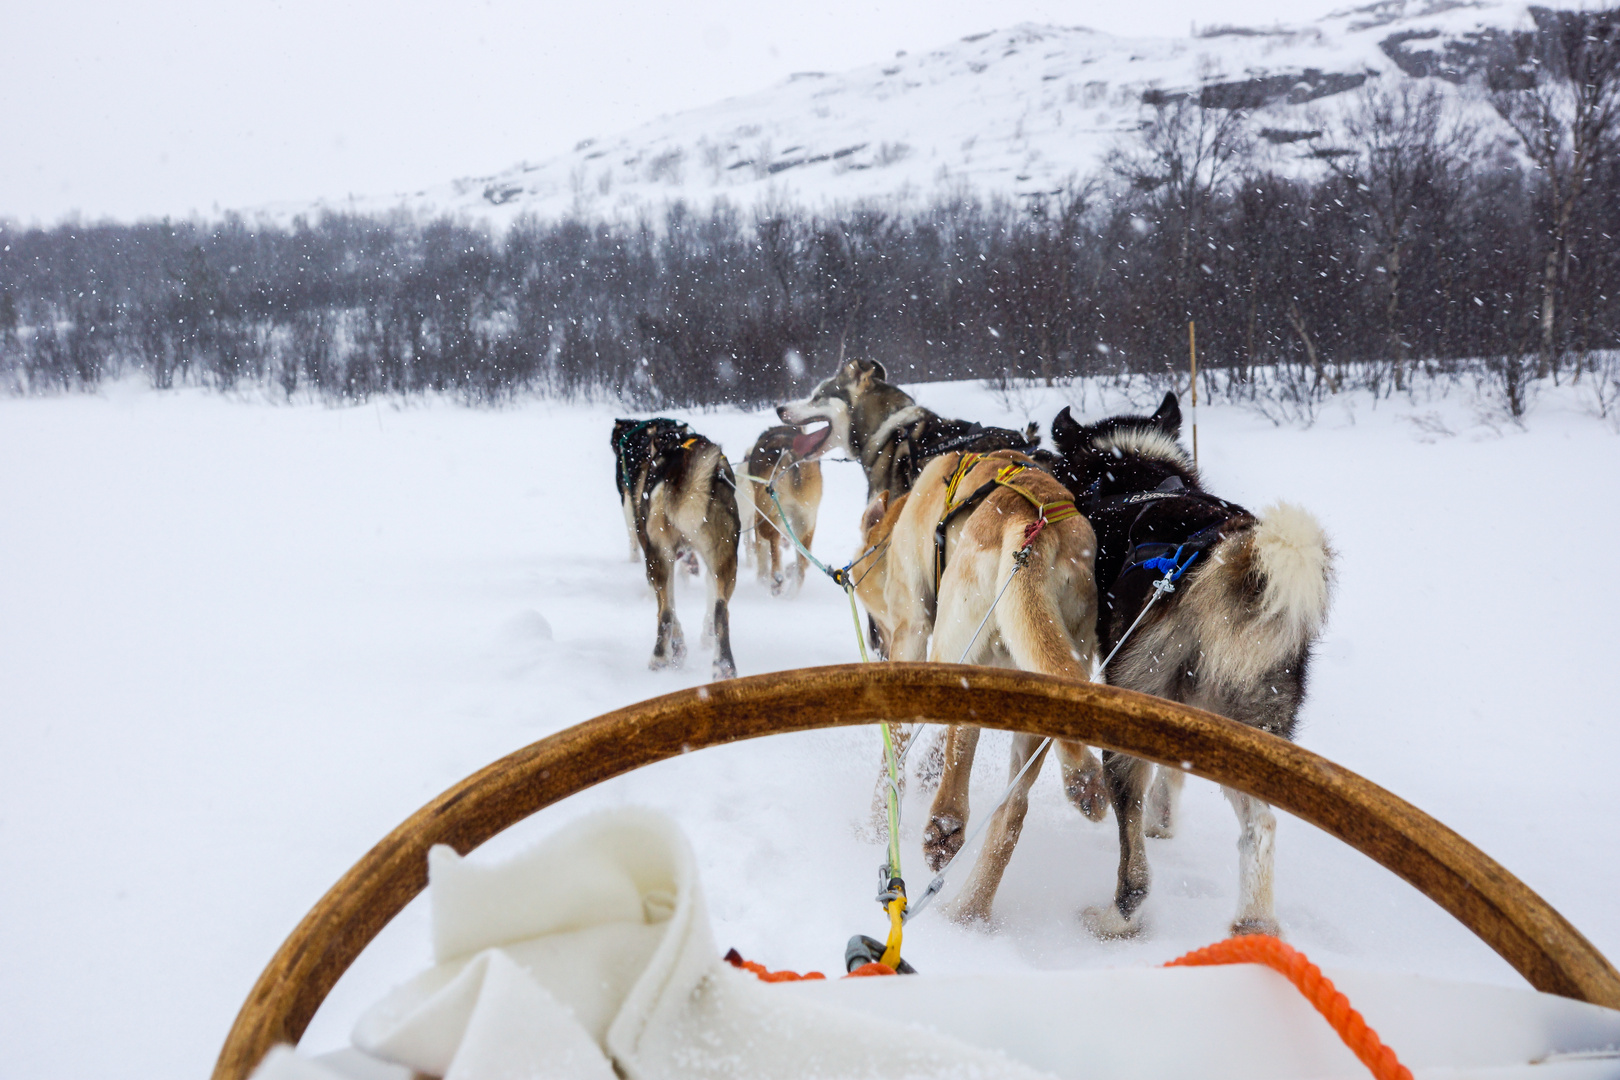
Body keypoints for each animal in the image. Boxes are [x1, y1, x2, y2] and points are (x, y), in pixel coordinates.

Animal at [609, 417, 741, 680]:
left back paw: (660, 658)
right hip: (725, 558)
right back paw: (723, 667)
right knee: (720, 611)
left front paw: (677, 649)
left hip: (657, 556)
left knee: (666, 612)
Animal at [741, 424, 822, 595]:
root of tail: (789, 455)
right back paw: (792, 588)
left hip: (766, 514)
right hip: (806, 520)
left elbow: (762, 550)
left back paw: (776, 578)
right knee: (802, 562)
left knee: (774, 538)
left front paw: (762, 578)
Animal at [861, 453, 1114, 926]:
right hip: (1053, 653)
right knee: (1013, 809)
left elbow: (895, 752)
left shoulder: (912, 630)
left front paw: (872, 826)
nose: (877, 644)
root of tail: (1032, 528)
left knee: (960, 748)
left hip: (954, 645)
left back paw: (945, 827)